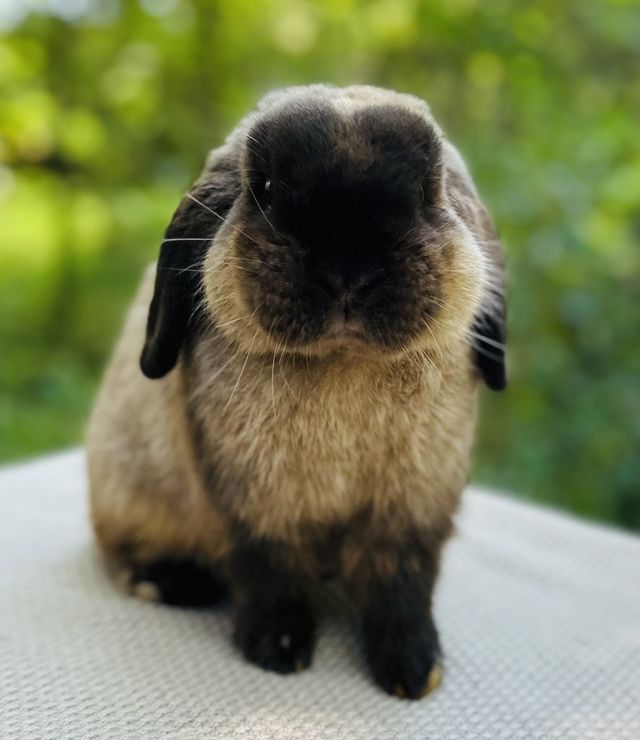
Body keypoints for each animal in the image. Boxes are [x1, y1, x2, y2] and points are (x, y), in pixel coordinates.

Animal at [87, 84, 506, 699]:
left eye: (428, 191)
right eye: (262, 187)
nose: (347, 267)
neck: (343, 363)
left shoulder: (413, 511)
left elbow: (401, 584)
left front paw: (414, 671)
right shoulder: (255, 511)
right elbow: (269, 575)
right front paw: (278, 651)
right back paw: (173, 583)